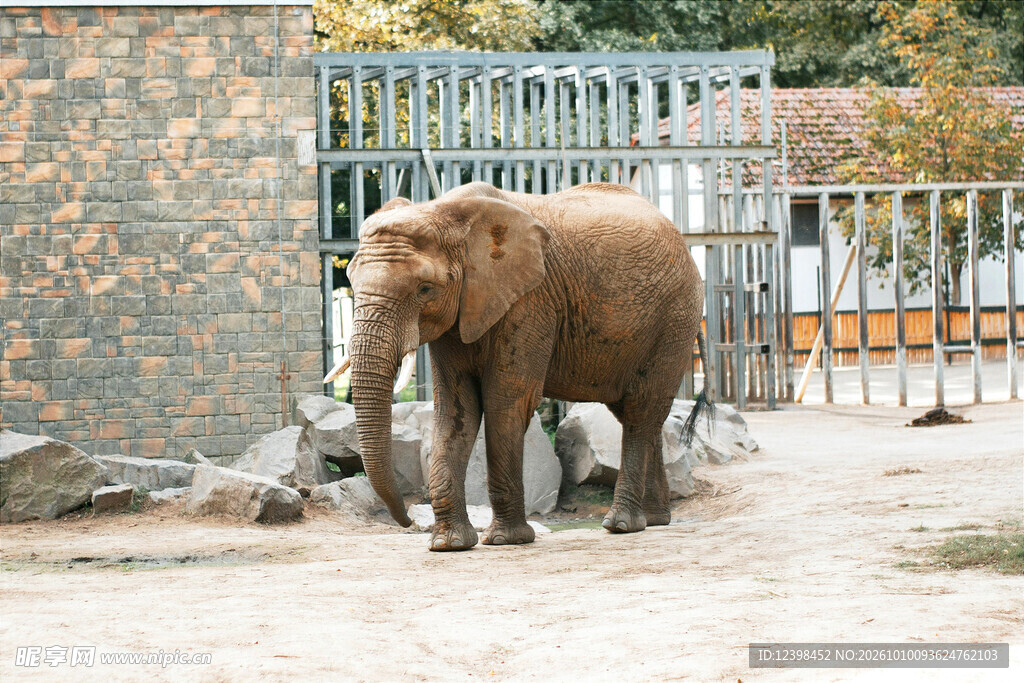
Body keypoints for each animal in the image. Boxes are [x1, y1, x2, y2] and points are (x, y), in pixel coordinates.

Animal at [324, 181, 711, 551]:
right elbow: (455, 409)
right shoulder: (460, 313)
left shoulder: (530, 300)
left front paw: (506, 540)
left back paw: (621, 525)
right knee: (639, 414)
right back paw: (656, 520)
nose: (406, 521)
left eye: (425, 289)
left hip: (674, 318)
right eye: (352, 282)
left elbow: (506, 402)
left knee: (641, 411)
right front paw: (448, 545)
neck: (447, 214)